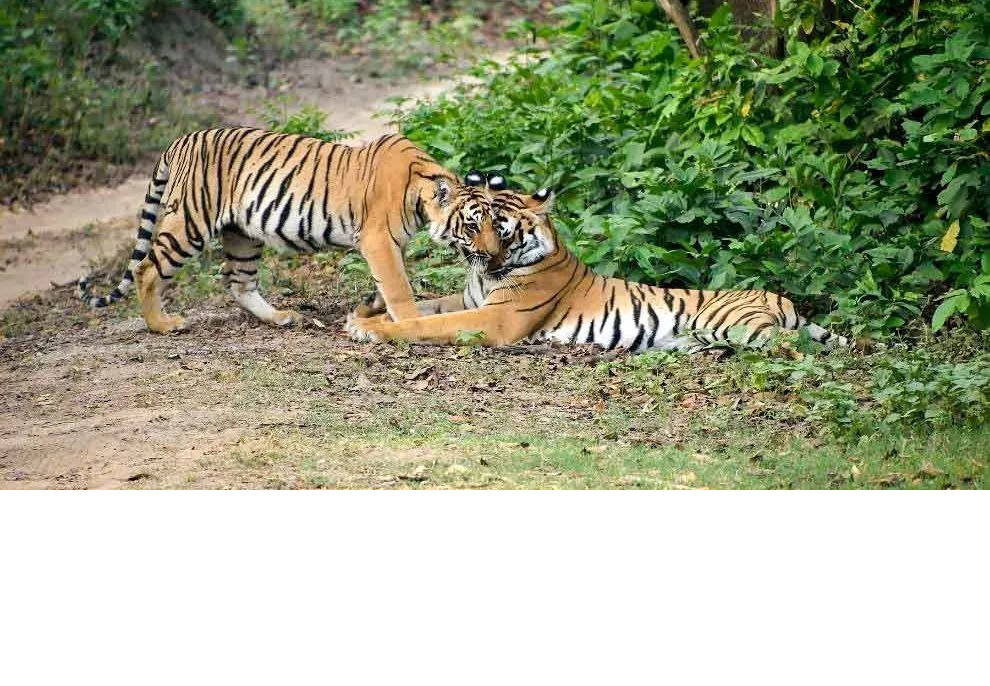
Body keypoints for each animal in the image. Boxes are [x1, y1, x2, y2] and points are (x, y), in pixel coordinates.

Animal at [79, 129, 504, 336]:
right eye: (472, 225)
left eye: (495, 224)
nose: (495, 255)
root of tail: (180, 140)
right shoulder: (378, 240)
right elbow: (400, 287)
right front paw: (408, 320)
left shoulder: (390, 245)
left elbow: (391, 282)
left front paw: (368, 306)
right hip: (190, 222)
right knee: (146, 269)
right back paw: (163, 325)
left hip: (242, 234)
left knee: (238, 282)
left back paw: (280, 318)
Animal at [344, 177, 848, 354]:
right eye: (473, 224)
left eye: (502, 230)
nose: (485, 258)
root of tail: (781, 299)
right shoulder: (470, 299)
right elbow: (427, 307)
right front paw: (361, 315)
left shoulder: (496, 318)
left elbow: (425, 324)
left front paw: (371, 329)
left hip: (738, 324)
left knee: (794, 345)